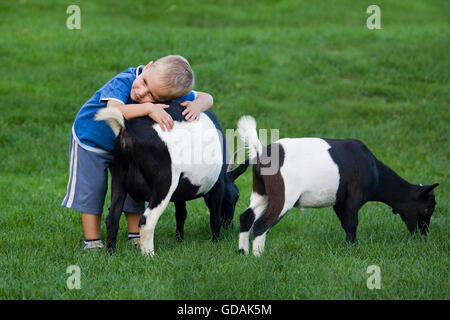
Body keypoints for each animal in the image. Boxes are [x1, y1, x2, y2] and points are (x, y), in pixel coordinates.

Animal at [237, 116, 438, 256]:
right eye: (427, 208)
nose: (423, 235)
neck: (374, 168)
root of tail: (262, 152)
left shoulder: (339, 200)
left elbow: (345, 223)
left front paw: (349, 246)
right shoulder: (354, 196)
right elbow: (351, 223)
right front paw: (352, 248)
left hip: (261, 192)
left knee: (246, 217)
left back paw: (243, 253)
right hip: (284, 196)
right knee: (262, 224)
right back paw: (258, 256)